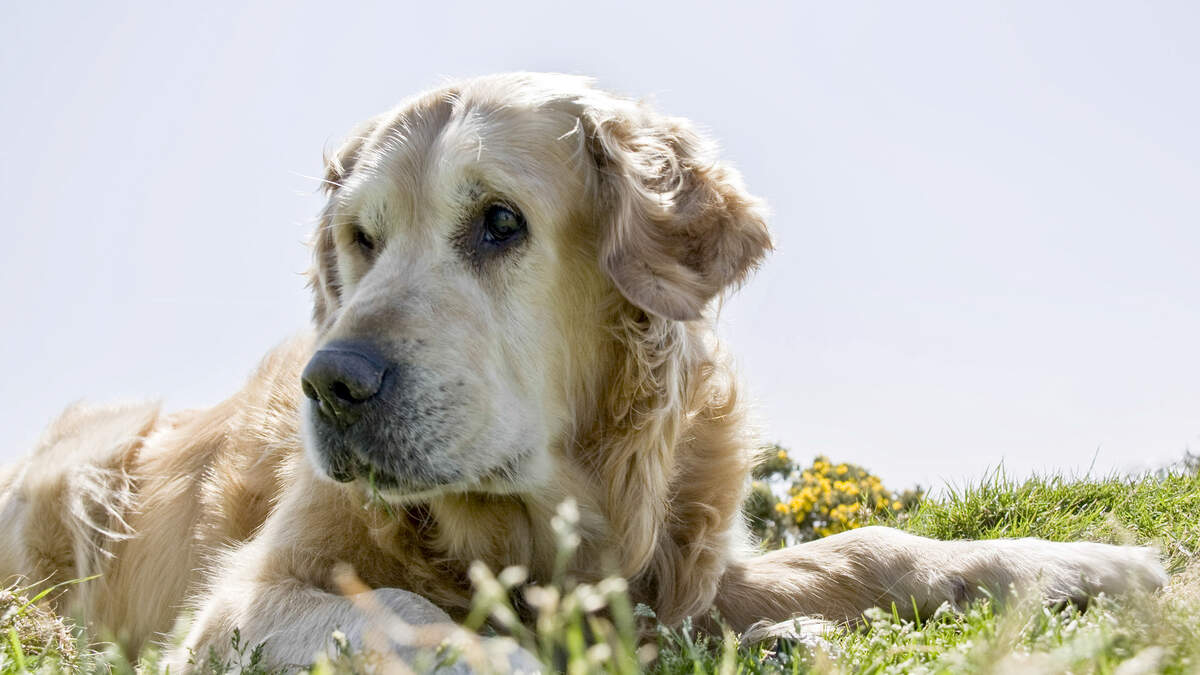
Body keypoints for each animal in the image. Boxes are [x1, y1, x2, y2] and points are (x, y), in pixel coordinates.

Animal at [0, 73, 1167, 671]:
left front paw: (1082, 567)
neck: (548, 511)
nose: (332, 383)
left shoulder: (682, 567)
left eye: (499, 222)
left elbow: (870, 547)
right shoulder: (244, 601)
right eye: (358, 240)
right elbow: (409, 617)